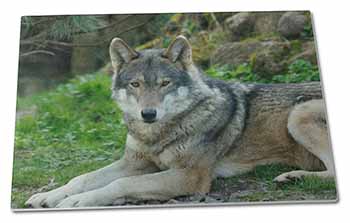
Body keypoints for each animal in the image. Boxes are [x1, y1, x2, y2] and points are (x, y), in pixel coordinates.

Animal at [26, 35, 334, 208]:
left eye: (165, 83)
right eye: (136, 84)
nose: (148, 114)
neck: (158, 134)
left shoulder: (189, 176)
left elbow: (120, 185)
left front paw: (76, 201)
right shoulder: (134, 163)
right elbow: (81, 178)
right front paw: (50, 196)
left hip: (298, 115)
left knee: (332, 174)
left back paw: (293, 177)